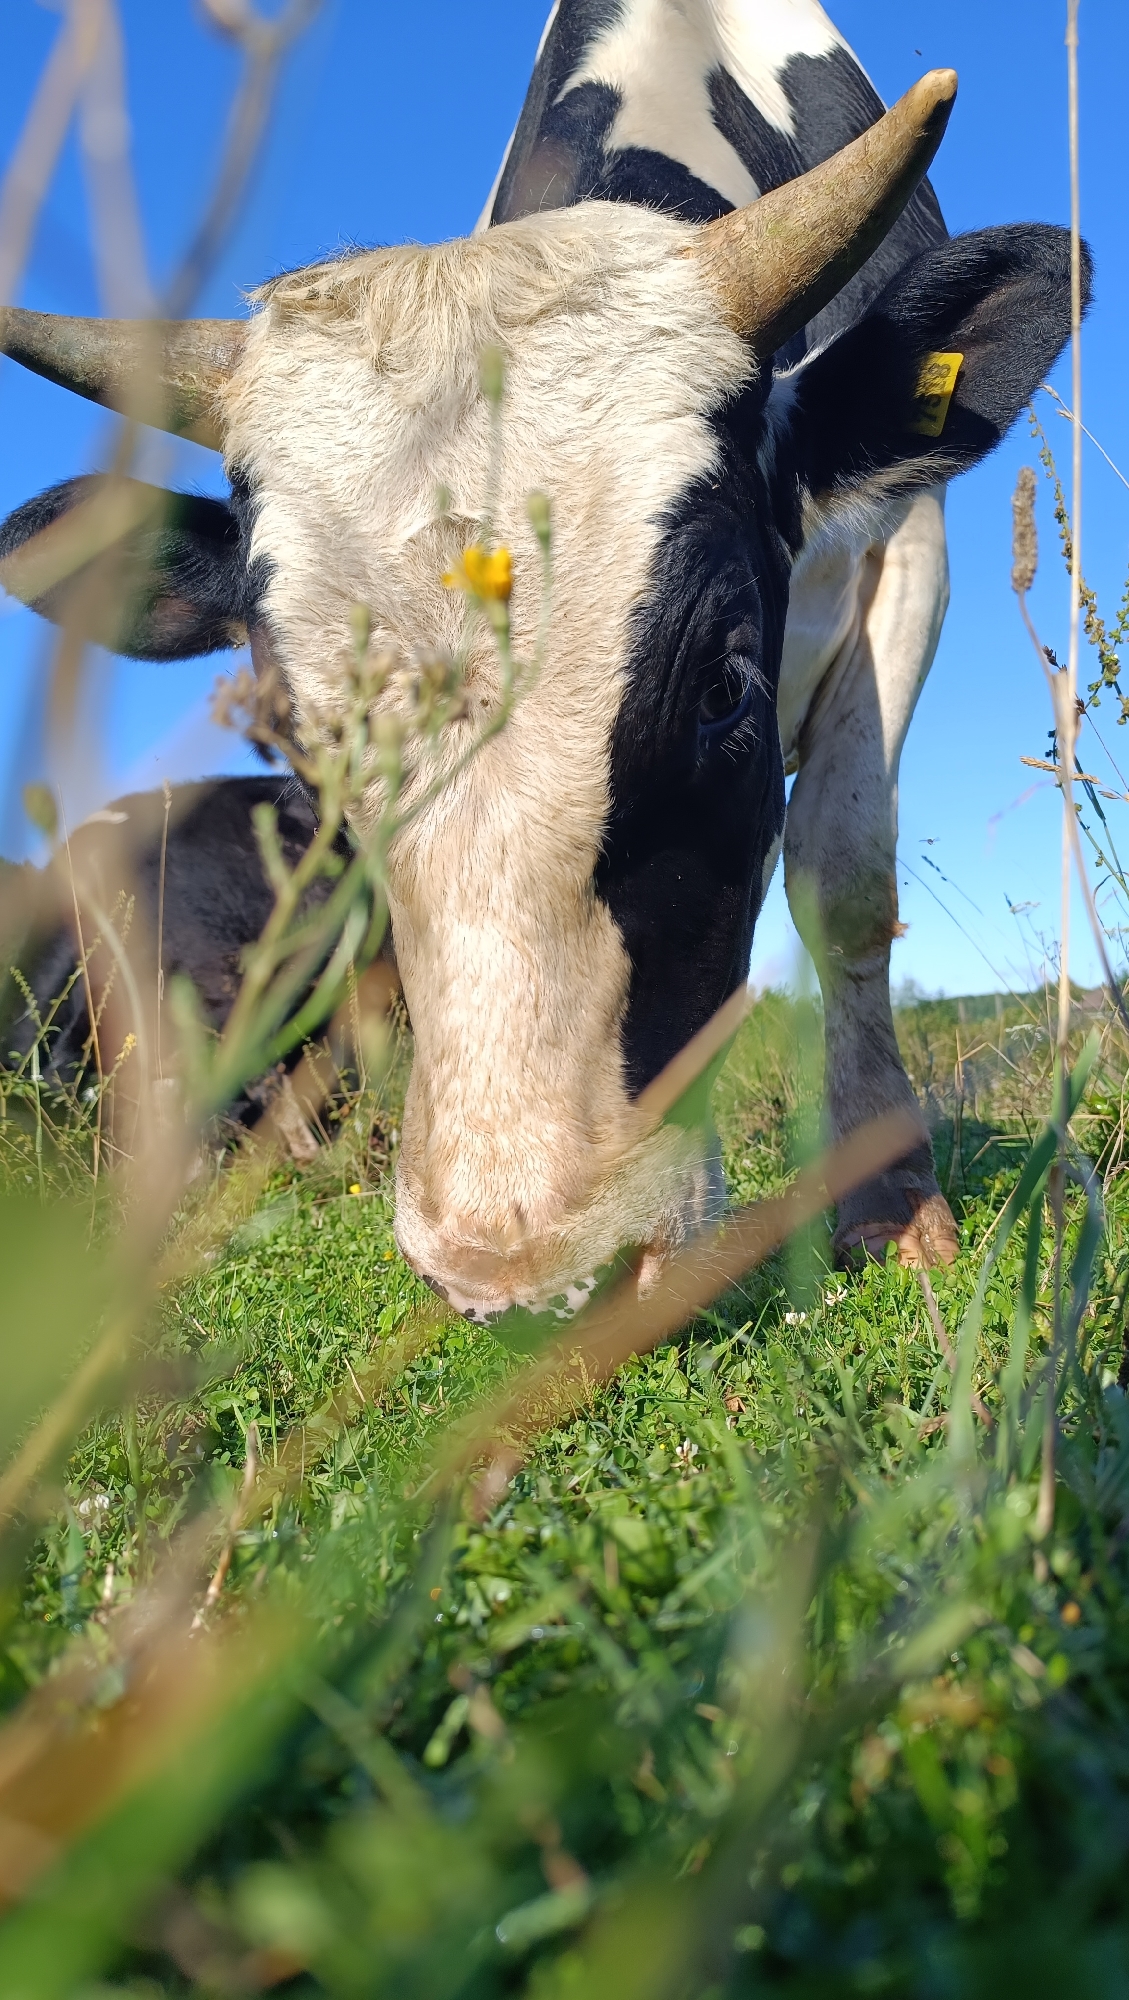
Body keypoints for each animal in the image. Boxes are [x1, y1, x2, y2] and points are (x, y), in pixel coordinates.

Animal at [0, 0, 1083, 1323]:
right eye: (303, 742)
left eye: (723, 683)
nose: (525, 1281)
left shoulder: (903, 541)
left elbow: (843, 876)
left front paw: (890, 1197)